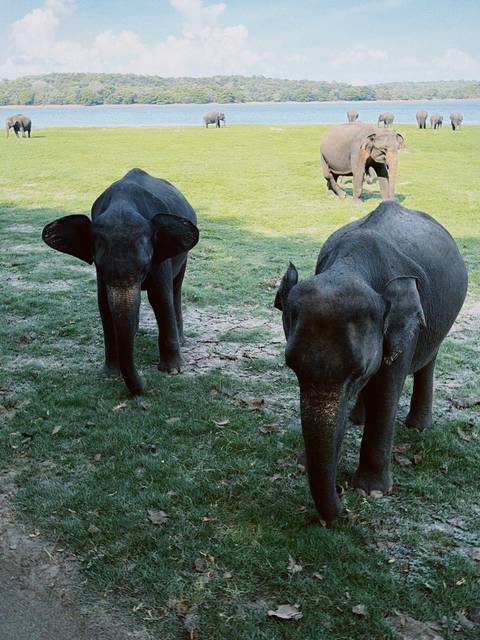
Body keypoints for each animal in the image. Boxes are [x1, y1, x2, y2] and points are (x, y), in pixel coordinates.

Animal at [42, 168, 199, 396]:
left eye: (145, 266)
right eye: (99, 266)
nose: (145, 384)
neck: (123, 204)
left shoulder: (160, 257)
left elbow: (160, 297)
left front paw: (173, 371)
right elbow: (104, 303)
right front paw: (109, 375)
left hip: (184, 258)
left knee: (176, 288)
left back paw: (181, 340)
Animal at [274, 201, 467, 522]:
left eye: (358, 371)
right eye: (292, 366)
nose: (340, 492)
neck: (351, 268)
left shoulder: (405, 325)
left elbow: (386, 391)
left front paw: (371, 491)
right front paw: (304, 463)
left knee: (429, 360)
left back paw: (418, 427)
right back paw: (357, 419)